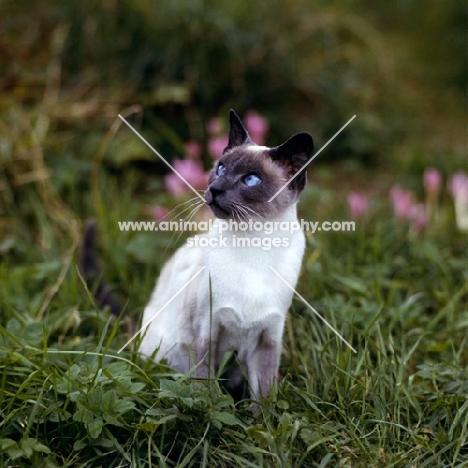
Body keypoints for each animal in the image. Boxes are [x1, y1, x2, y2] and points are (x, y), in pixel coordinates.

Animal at [139, 109, 314, 398]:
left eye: (251, 179)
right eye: (220, 168)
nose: (215, 189)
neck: (253, 244)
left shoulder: (268, 339)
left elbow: (264, 398)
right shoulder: (203, 332)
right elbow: (204, 390)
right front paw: (207, 407)